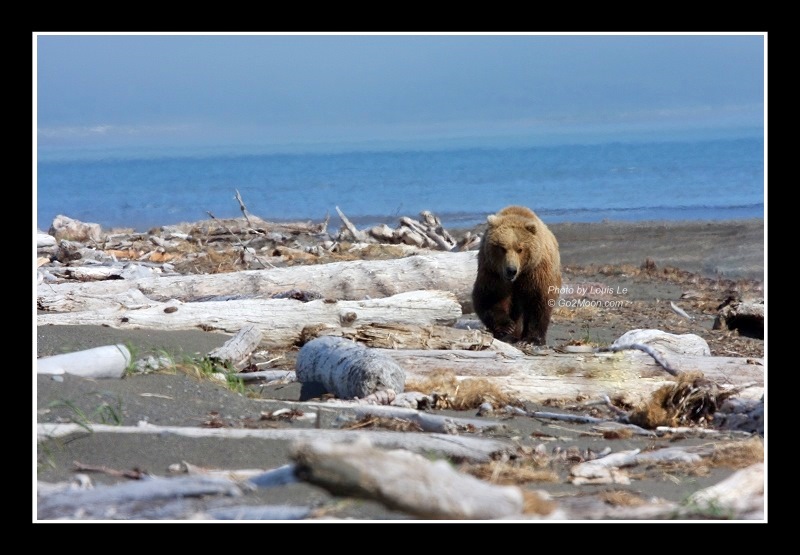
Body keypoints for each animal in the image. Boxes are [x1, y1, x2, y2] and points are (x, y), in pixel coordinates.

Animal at [472, 204, 560, 346]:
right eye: (502, 248)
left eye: (520, 249)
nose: (511, 270)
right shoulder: (493, 271)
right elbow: (491, 296)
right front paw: (507, 327)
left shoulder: (536, 271)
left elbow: (538, 300)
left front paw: (532, 339)